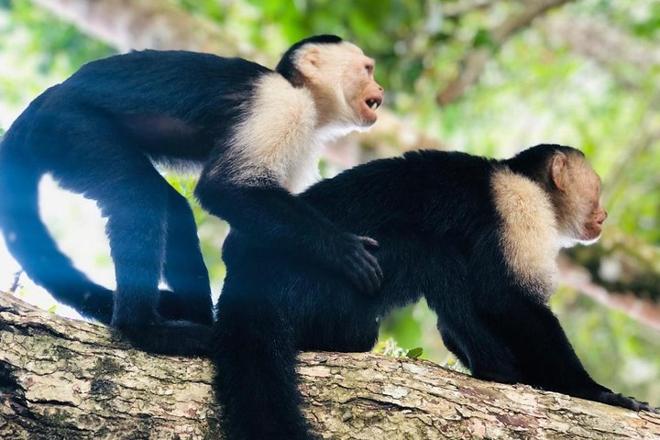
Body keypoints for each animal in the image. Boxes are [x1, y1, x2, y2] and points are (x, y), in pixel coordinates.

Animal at [0, 34, 382, 354]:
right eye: (367, 69)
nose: (379, 88)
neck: (303, 94)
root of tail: (45, 99)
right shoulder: (280, 107)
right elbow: (222, 188)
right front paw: (342, 249)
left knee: (173, 208)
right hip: (69, 127)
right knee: (138, 195)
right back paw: (143, 328)